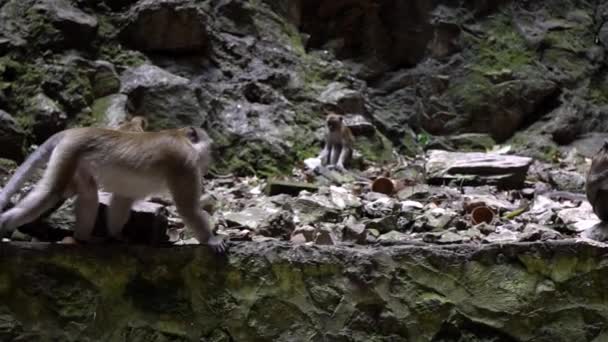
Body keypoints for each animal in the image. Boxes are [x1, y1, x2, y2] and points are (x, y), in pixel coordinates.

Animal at [0, 124, 226, 252]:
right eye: (212, 148)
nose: (212, 159)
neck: (182, 138)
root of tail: (73, 131)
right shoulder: (184, 163)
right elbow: (188, 209)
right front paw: (211, 240)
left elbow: (122, 198)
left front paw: (116, 236)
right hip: (69, 153)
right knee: (50, 192)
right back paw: (5, 222)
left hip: (77, 162)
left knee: (87, 194)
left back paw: (83, 239)